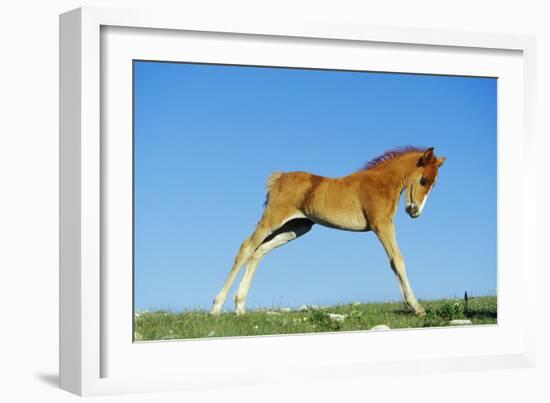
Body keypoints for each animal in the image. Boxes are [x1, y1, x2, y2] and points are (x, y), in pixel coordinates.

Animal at [212, 147, 448, 318]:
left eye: (434, 183)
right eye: (423, 180)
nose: (415, 211)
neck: (380, 182)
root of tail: (279, 177)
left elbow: (394, 261)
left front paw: (411, 305)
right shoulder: (381, 225)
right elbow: (397, 259)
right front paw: (416, 307)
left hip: (296, 228)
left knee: (259, 252)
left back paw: (240, 307)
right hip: (273, 219)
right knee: (246, 248)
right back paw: (216, 307)